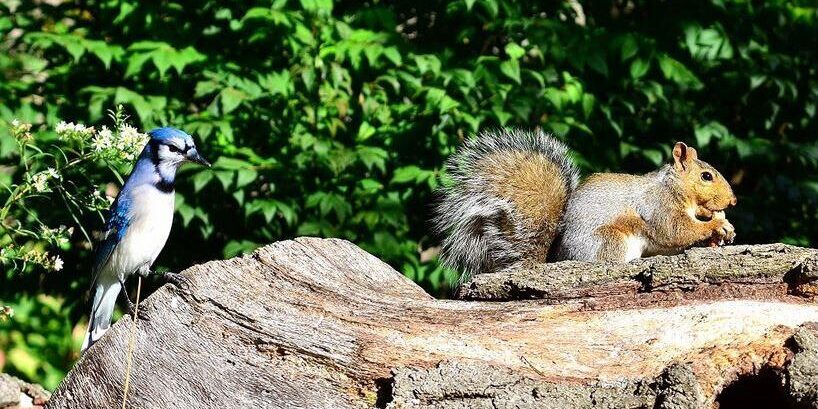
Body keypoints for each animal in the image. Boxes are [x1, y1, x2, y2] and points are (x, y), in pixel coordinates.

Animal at [430, 129, 736, 282]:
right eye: (706, 176)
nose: (732, 201)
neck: (672, 186)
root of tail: (557, 258)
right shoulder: (658, 207)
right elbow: (675, 231)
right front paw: (717, 224)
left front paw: (722, 232)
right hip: (610, 240)